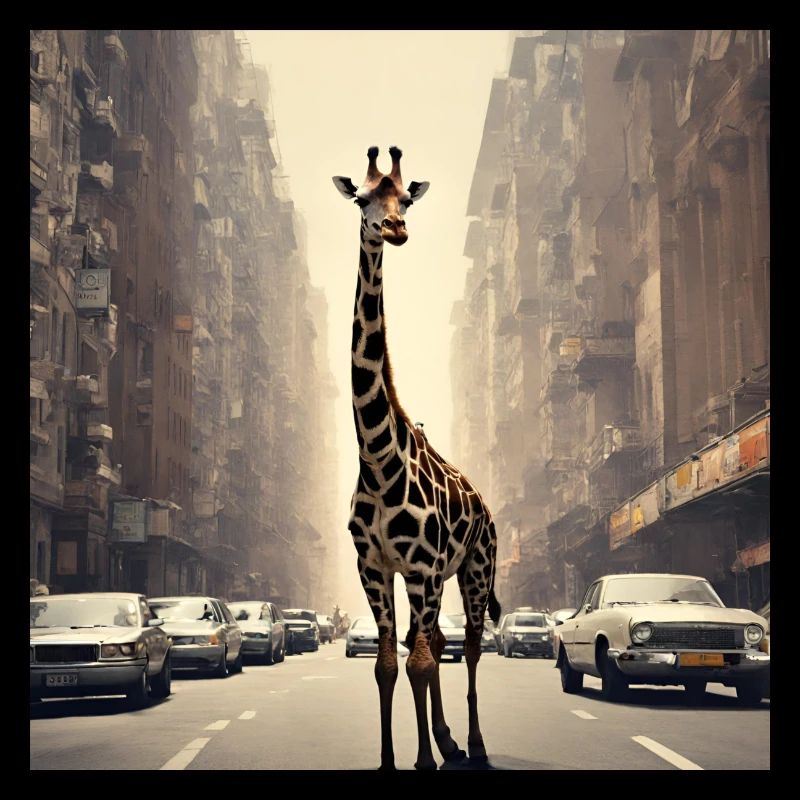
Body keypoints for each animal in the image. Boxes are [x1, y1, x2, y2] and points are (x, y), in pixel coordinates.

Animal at [333, 146, 501, 771]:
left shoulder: (425, 567)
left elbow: (422, 662)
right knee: (435, 642)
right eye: (362, 198)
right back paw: (450, 740)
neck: (379, 462)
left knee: (468, 645)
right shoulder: (376, 567)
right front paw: (391, 759)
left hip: (475, 566)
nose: (394, 229)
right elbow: (388, 664)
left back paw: (473, 744)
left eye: (405, 198)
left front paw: (426, 758)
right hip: (432, 579)